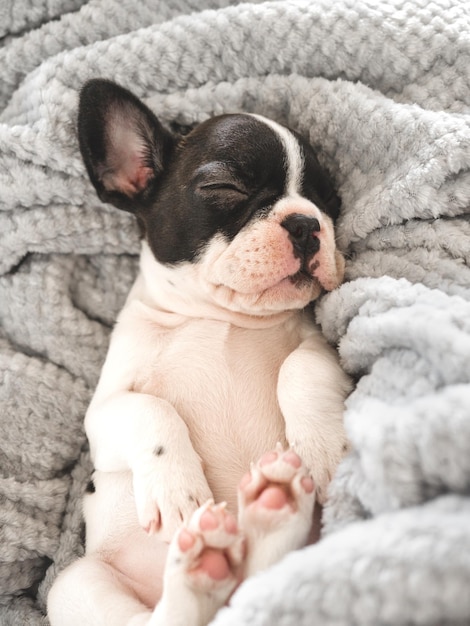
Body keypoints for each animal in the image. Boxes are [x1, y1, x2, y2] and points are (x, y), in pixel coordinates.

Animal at [47, 80, 352, 624]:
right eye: (223, 188)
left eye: (330, 202)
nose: (306, 223)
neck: (221, 317)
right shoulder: (103, 414)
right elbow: (149, 409)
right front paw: (177, 491)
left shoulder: (319, 345)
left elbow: (301, 367)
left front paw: (321, 447)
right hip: (75, 586)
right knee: (161, 616)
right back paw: (203, 563)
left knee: (262, 576)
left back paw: (272, 510)